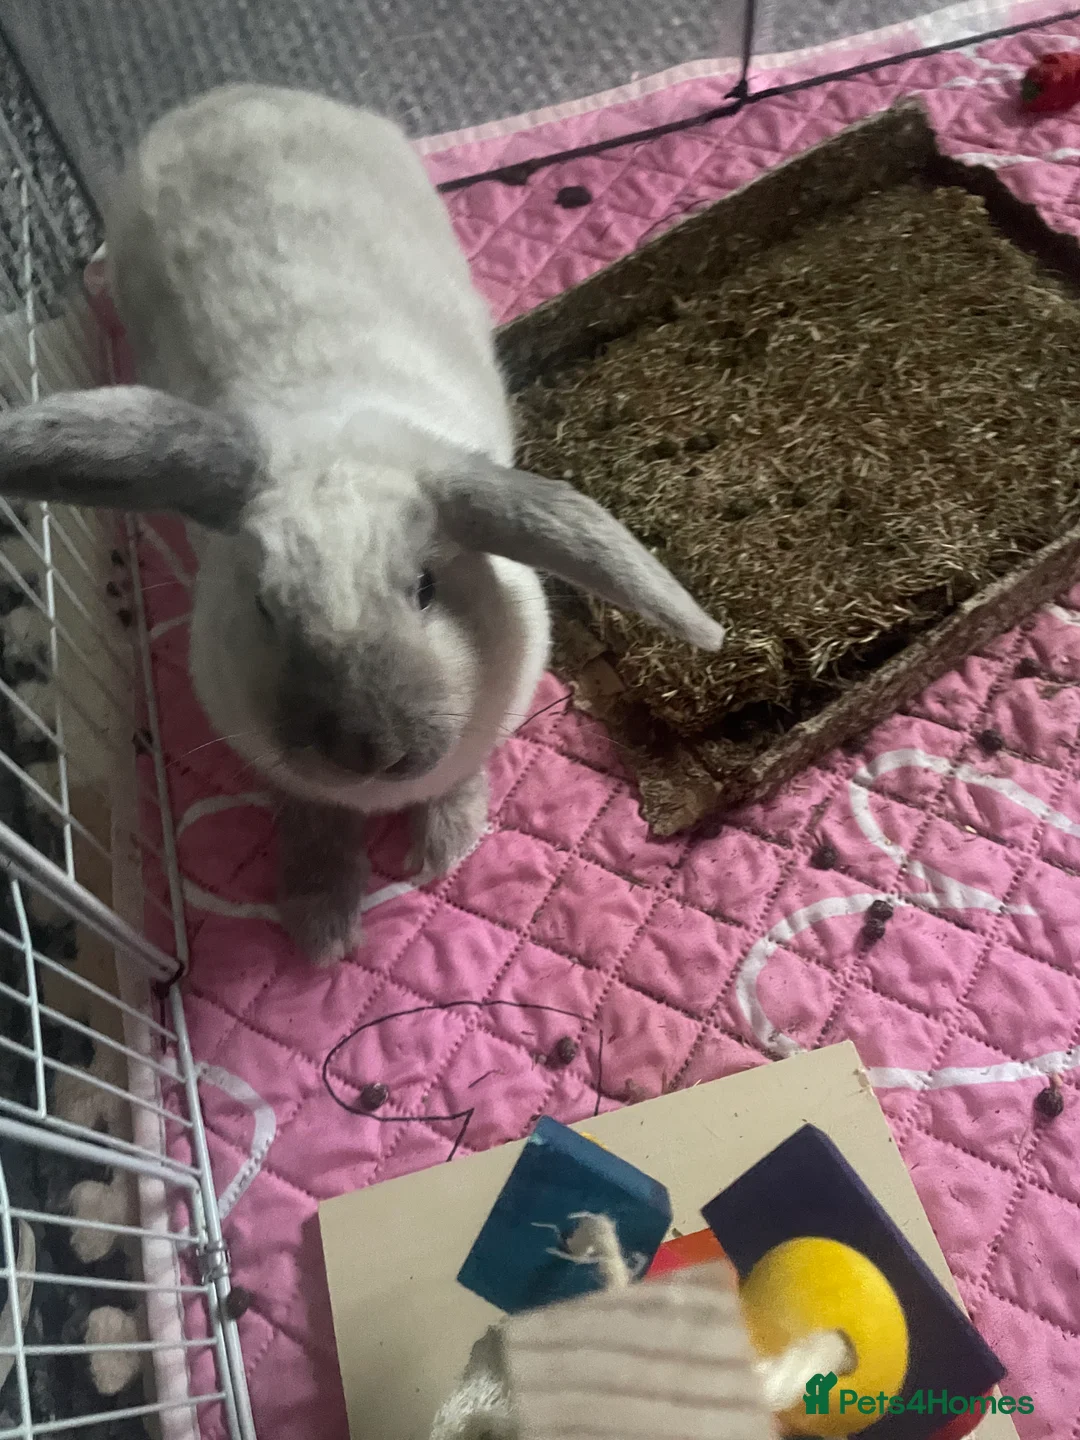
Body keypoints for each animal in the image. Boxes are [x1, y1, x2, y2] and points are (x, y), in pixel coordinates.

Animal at [0, 83, 724, 965]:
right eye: (264, 608)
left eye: (425, 588)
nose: (366, 750)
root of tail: (233, 96)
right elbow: (312, 820)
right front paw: (319, 924)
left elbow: (458, 778)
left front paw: (445, 845)